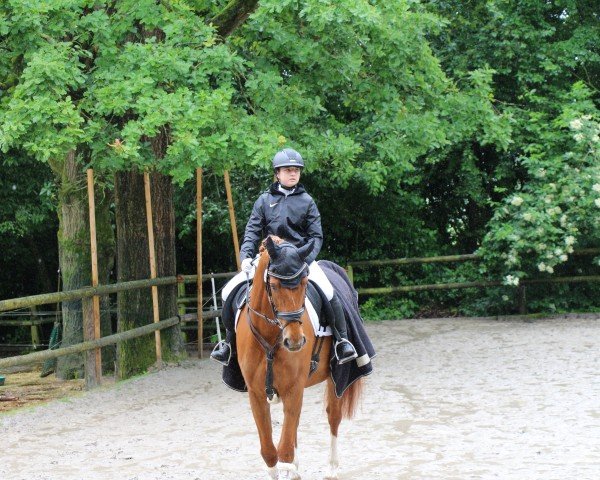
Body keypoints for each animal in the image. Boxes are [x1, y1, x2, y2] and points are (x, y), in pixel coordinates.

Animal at [237, 234, 364, 478]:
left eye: (304, 283)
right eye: (273, 285)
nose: (294, 341)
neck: (271, 338)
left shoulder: (293, 389)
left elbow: (284, 452)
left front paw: (292, 468)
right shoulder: (256, 395)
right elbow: (270, 453)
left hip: (336, 376)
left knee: (333, 417)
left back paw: (332, 468)